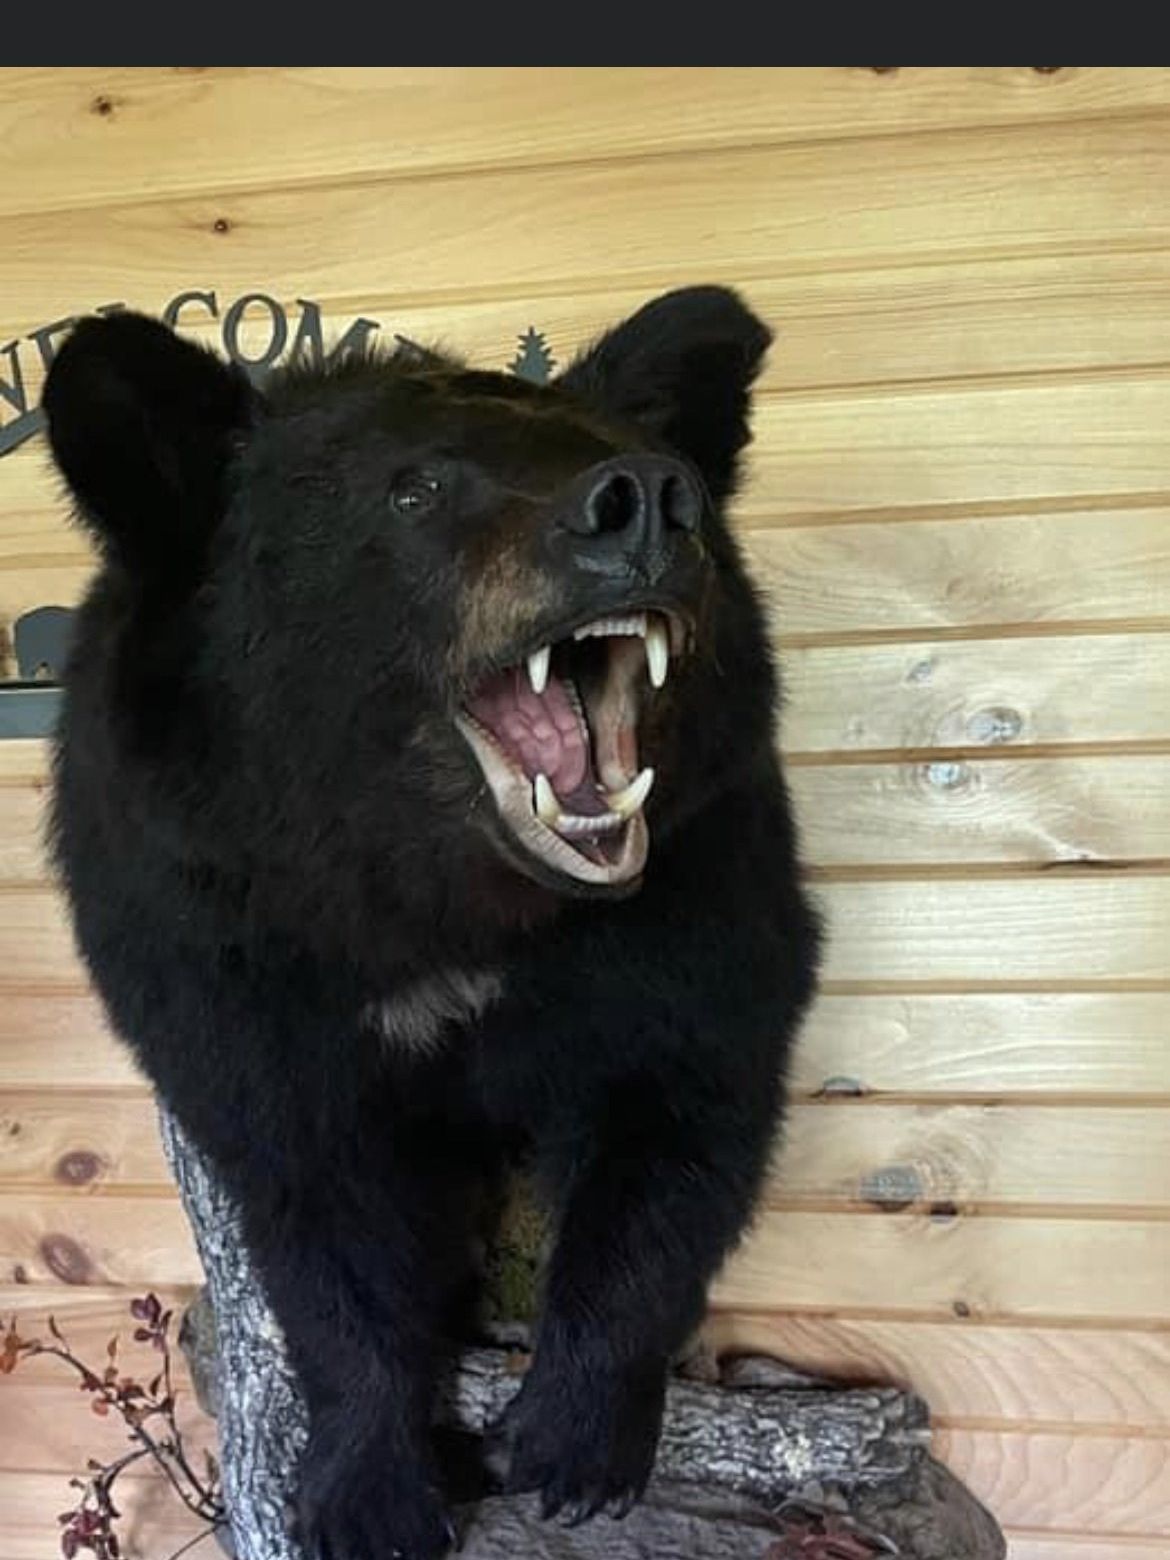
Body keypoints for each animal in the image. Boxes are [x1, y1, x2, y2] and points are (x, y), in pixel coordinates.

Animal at [42, 287, 822, 1560]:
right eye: (415, 490)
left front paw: (574, 1436)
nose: (652, 500)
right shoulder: (214, 939)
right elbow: (316, 1199)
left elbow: (681, 1106)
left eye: (635, 453)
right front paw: (368, 1489)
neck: (436, 904)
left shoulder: (698, 882)